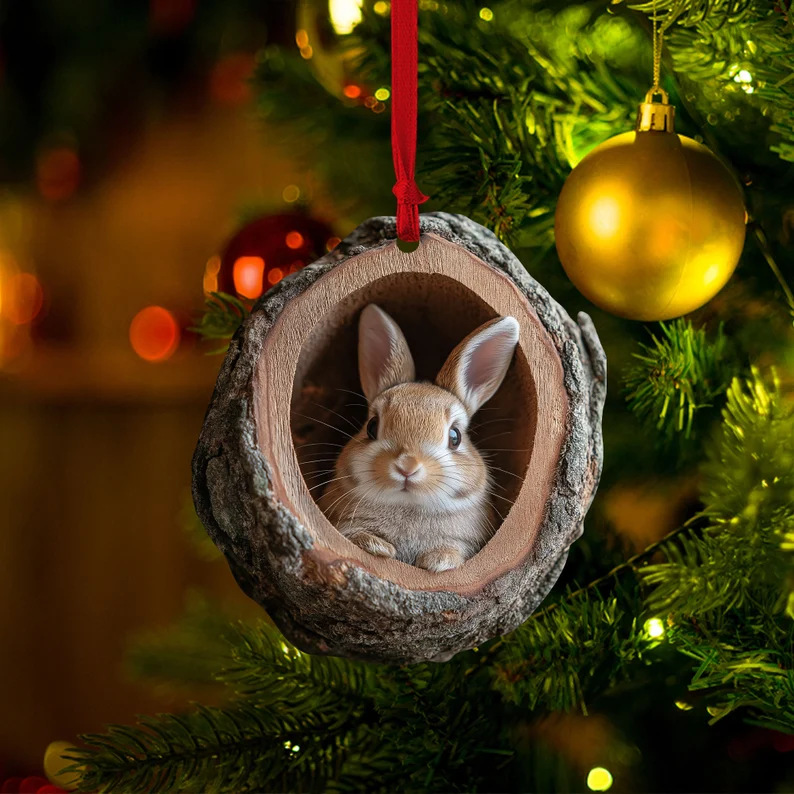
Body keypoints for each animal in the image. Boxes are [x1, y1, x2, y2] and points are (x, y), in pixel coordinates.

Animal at [317, 303, 520, 573]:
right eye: (372, 426)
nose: (407, 466)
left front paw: (439, 560)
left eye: (455, 437)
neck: (408, 505)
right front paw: (378, 547)